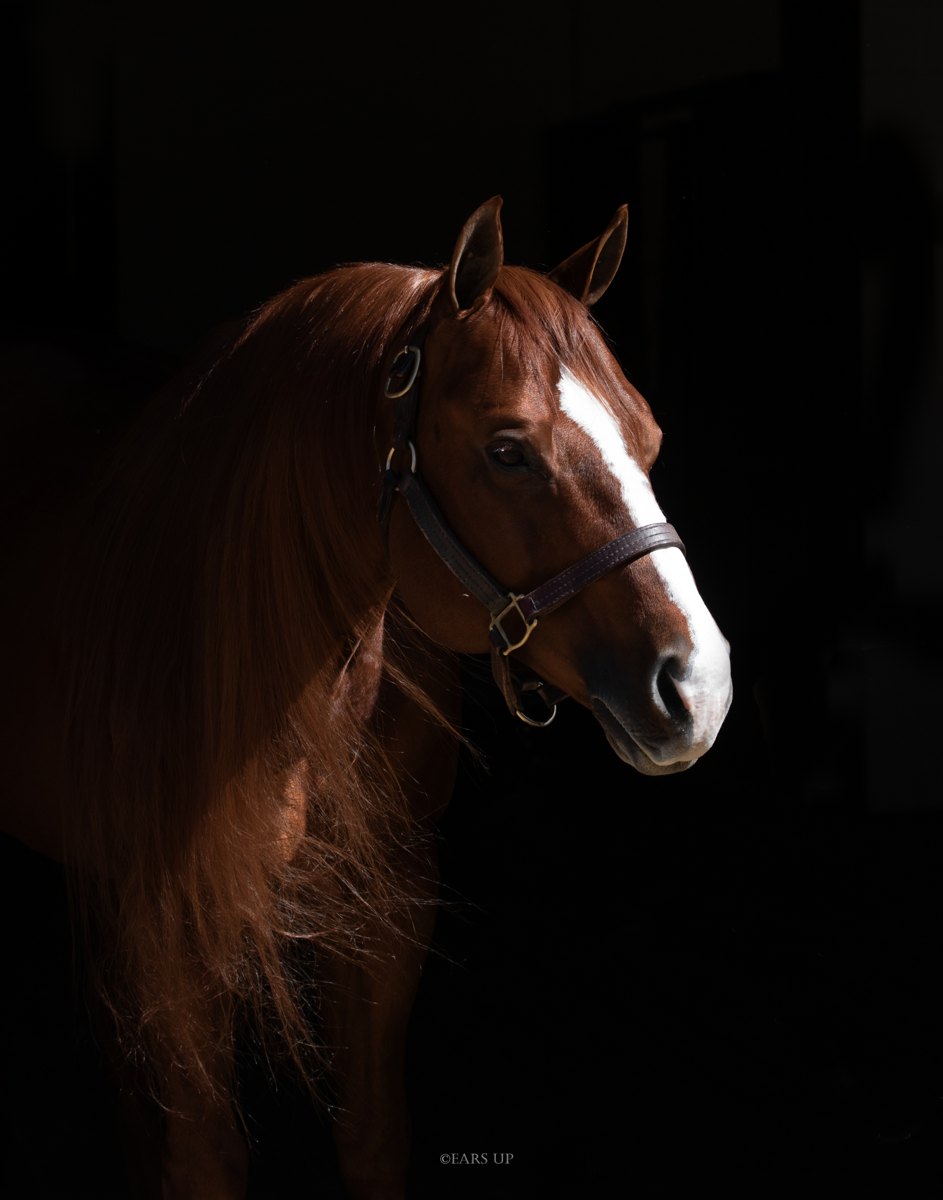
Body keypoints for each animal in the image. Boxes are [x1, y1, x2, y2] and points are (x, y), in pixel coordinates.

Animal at [0, 196, 732, 1198]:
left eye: (648, 437)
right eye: (508, 451)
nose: (698, 683)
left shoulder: (392, 902)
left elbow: (373, 1136)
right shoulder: (171, 926)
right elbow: (203, 1160)